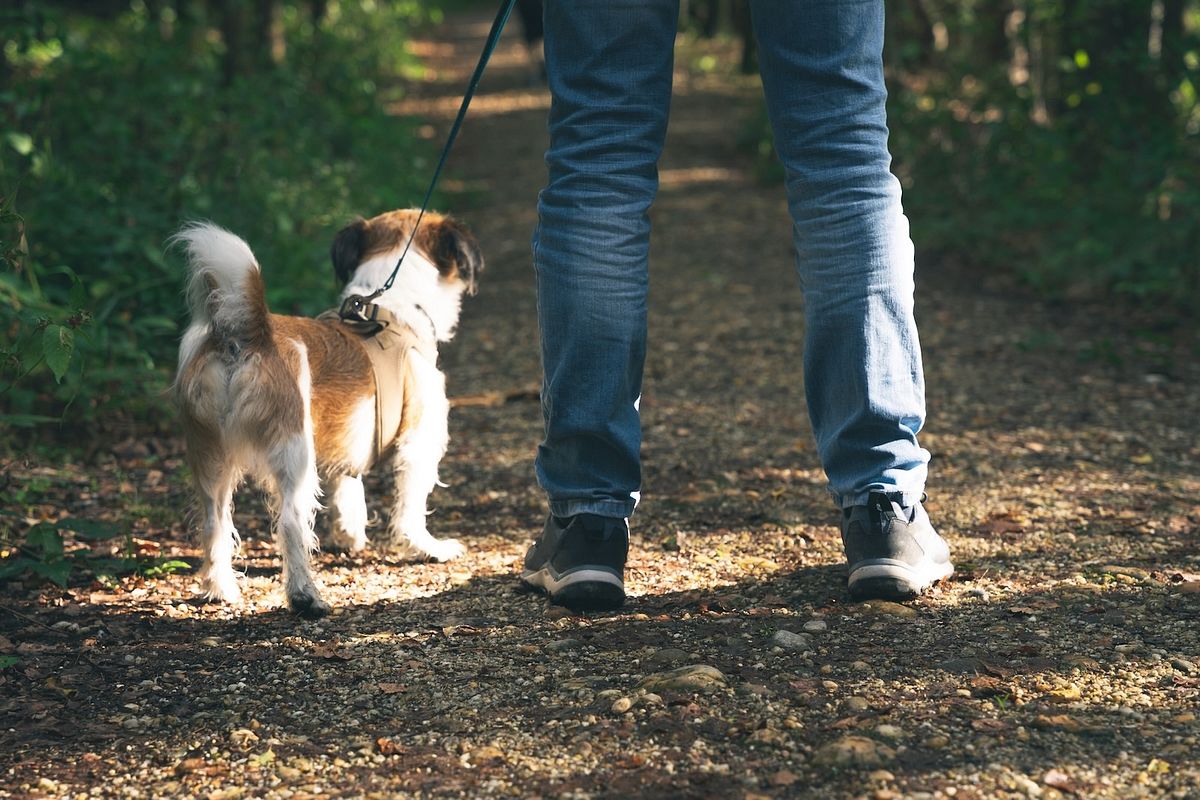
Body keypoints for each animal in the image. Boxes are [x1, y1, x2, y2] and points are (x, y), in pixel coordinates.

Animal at [174, 209, 482, 618]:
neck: (393, 309)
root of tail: (246, 334)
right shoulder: (418, 443)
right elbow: (411, 505)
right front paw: (426, 547)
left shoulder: (345, 440)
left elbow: (348, 489)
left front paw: (349, 535)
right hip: (294, 457)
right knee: (290, 523)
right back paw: (305, 596)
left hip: (211, 455)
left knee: (214, 522)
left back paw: (220, 589)